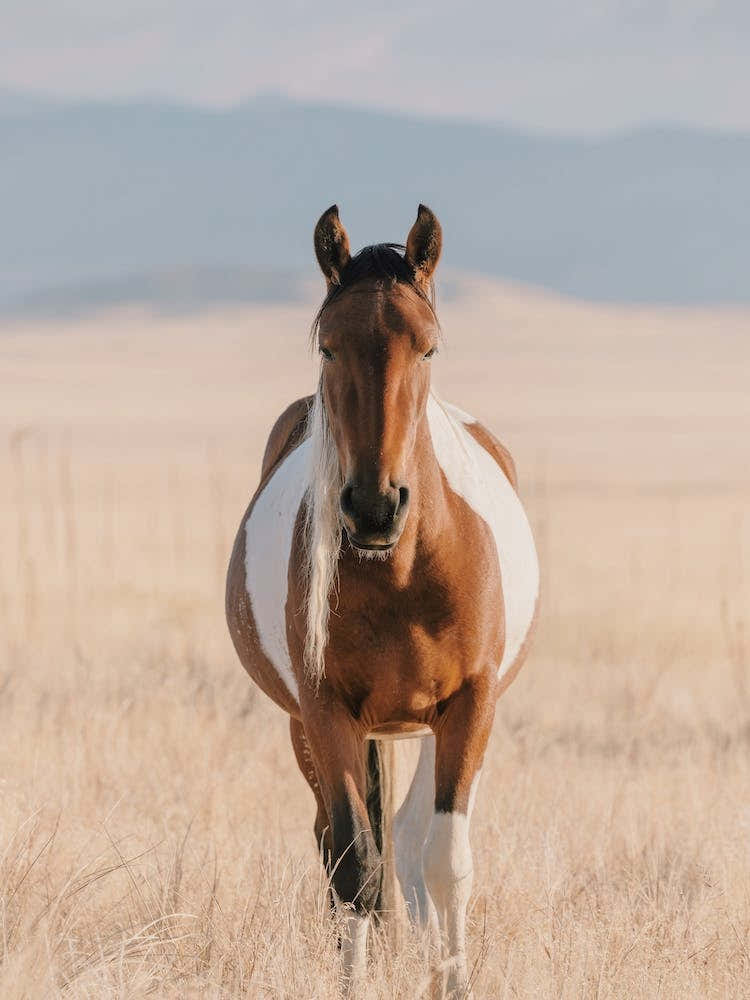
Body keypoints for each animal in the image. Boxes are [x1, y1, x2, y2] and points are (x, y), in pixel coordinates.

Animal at [225, 204, 539, 997]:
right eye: (328, 345)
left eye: (428, 347)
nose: (372, 508)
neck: (401, 574)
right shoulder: (324, 710)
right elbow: (353, 866)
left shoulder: (470, 706)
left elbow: (444, 862)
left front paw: (453, 982)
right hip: (313, 728)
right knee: (348, 845)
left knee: (410, 837)